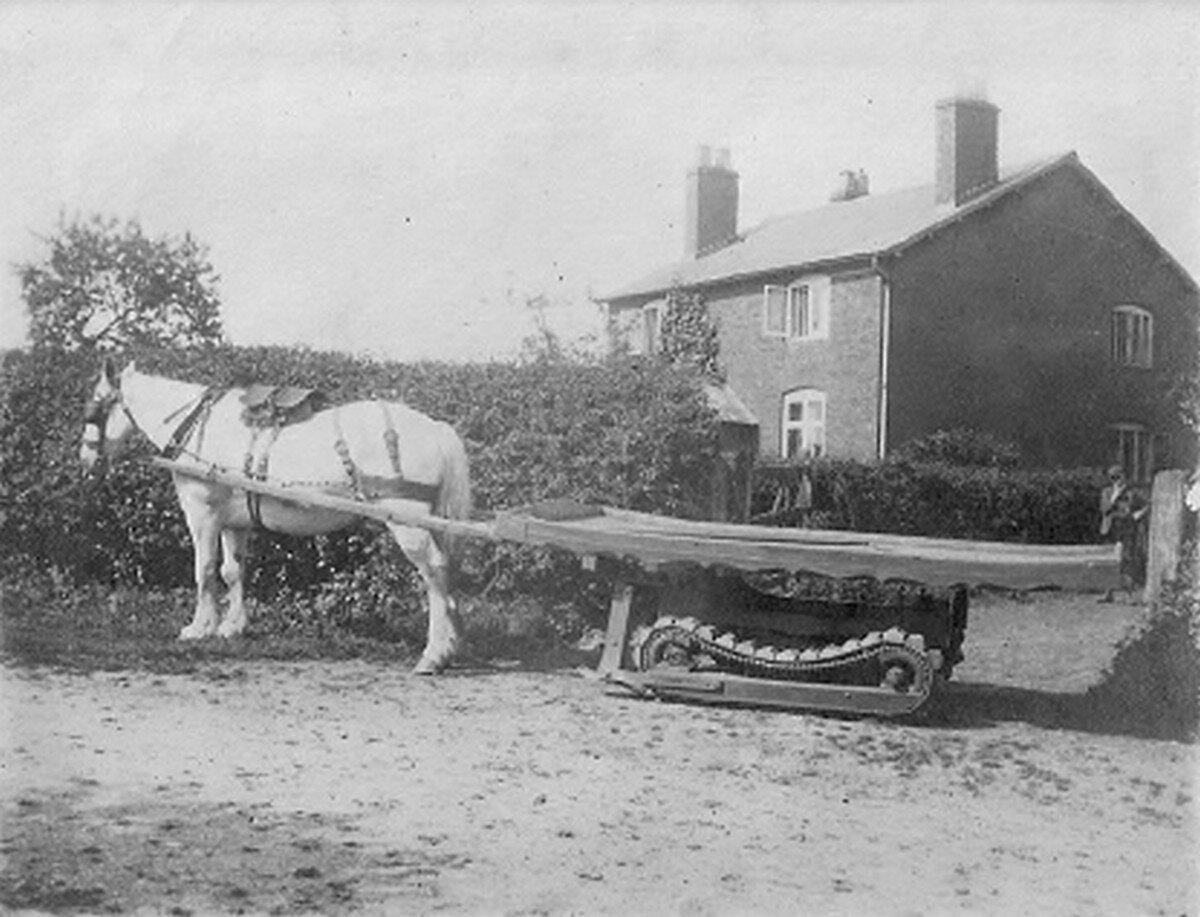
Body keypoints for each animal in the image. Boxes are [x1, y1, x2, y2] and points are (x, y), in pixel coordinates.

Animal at [78, 360, 472, 672]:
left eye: (93, 408)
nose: (85, 460)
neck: (196, 425)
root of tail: (435, 428)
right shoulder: (233, 522)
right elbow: (232, 571)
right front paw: (232, 627)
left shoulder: (202, 515)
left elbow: (204, 571)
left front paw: (199, 628)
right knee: (445, 572)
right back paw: (451, 644)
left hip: (408, 520)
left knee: (435, 573)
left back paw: (434, 653)